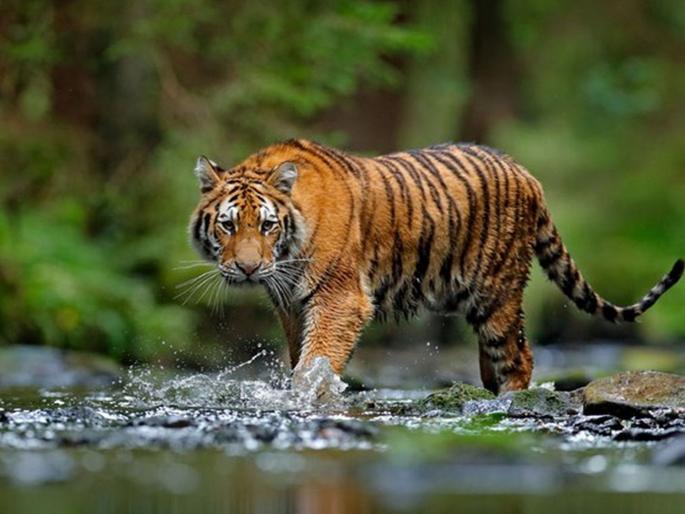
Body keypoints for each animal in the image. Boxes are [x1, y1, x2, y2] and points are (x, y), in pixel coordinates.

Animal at [188, 139, 683, 394]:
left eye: (267, 225)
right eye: (228, 225)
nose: (248, 269)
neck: (287, 256)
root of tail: (528, 175)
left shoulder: (340, 298)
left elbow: (317, 360)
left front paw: (309, 395)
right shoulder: (291, 304)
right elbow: (300, 356)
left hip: (496, 293)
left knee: (519, 357)